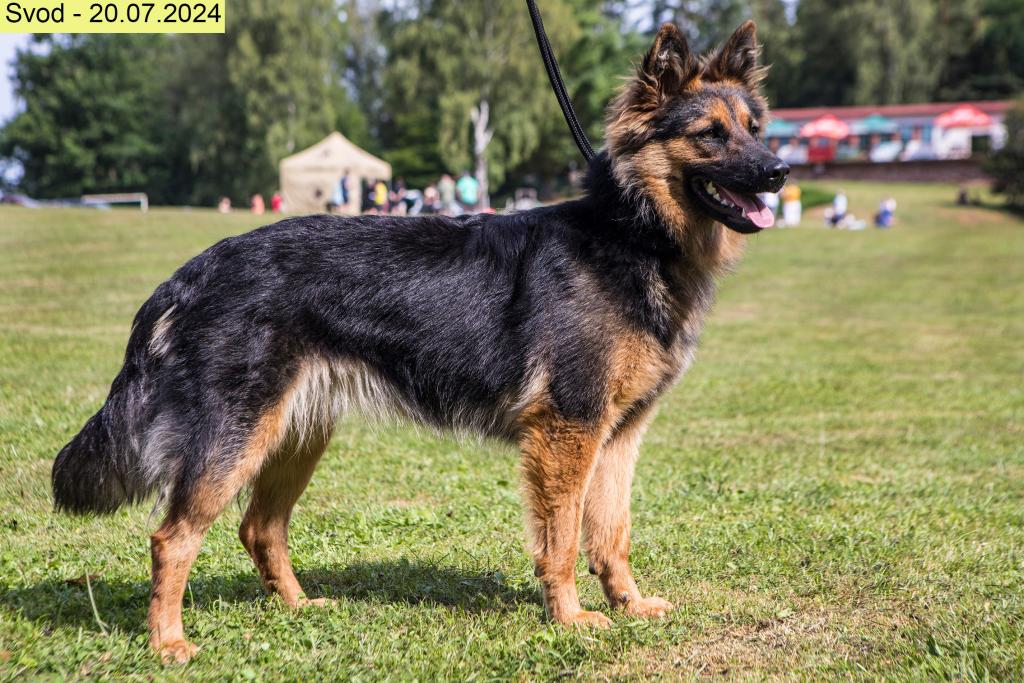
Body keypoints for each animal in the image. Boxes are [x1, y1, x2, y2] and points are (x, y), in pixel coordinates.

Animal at [52, 21, 787, 663]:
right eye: (710, 135)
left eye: (755, 129)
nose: (779, 172)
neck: (633, 233)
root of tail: (195, 269)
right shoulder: (567, 433)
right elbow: (561, 539)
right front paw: (571, 617)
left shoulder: (617, 437)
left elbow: (612, 533)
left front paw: (628, 604)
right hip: (235, 441)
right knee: (172, 537)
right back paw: (168, 642)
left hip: (295, 435)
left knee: (259, 527)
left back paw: (297, 607)